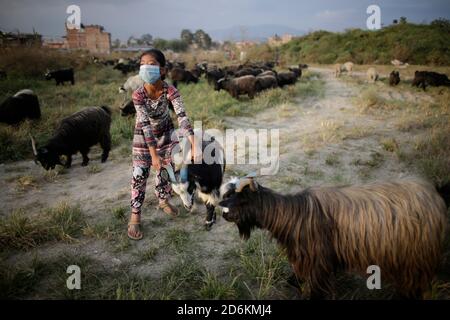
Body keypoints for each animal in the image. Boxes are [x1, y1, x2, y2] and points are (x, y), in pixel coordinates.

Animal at [218, 176, 446, 298]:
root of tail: (434, 196)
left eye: (243, 199)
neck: (293, 214)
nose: (223, 212)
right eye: (229, 196)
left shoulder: (317, 260)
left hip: (415, 258)